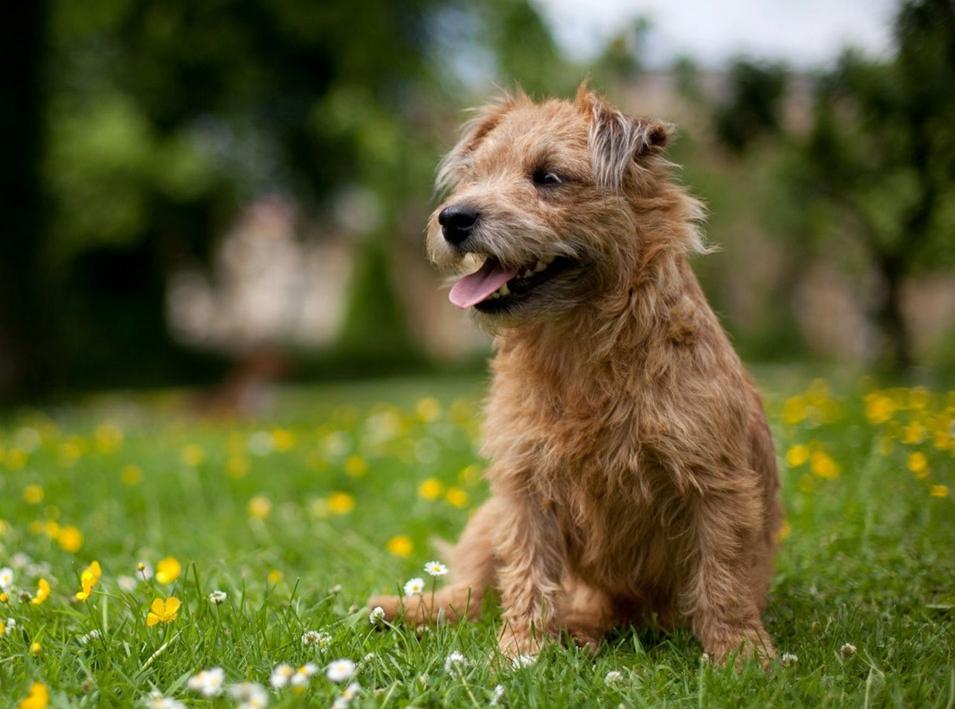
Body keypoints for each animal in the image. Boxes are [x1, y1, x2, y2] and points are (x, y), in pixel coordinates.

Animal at [370, 85, 780, 668]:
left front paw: (742, 655)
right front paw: (519, 652)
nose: (453, 217)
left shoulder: (715, 484)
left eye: (548, 177)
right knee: (468, 593)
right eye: (474, 175)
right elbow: (526, 576)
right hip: (487, 517)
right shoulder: (525, 488)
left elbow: (722, 577)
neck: (579, 349)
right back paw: (401, 610)